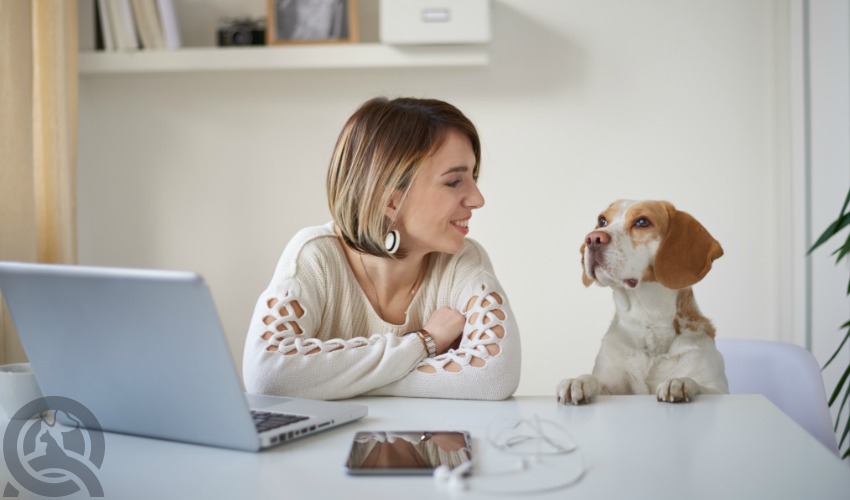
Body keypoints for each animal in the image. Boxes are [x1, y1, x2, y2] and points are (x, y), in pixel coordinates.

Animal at [556, 198, 728, 402]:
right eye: (602, 221)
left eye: (642, 222)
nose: (592, 238)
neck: (646, 319)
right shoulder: (612, 383)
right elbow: (595, 381)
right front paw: (579, 381)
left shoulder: (718, 388)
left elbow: (699, 385)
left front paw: (679, 382)